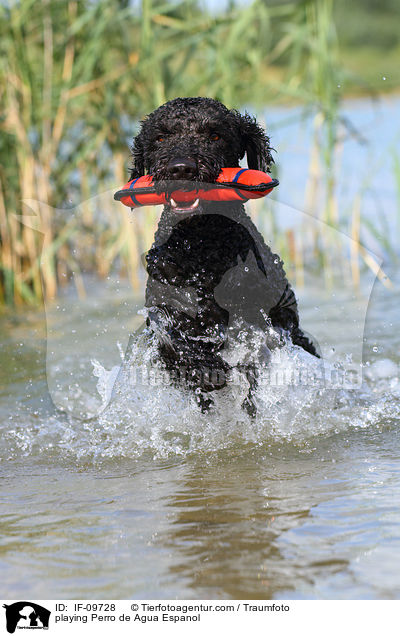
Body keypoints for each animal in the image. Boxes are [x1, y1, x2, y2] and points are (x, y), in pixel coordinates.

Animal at [130, 95, 318, 412]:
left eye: (214, 135)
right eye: (160, 137)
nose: (182, 168)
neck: (199, 245)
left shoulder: (260, 318)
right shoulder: (165, 308)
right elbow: (172, 335)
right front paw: (206, 369)